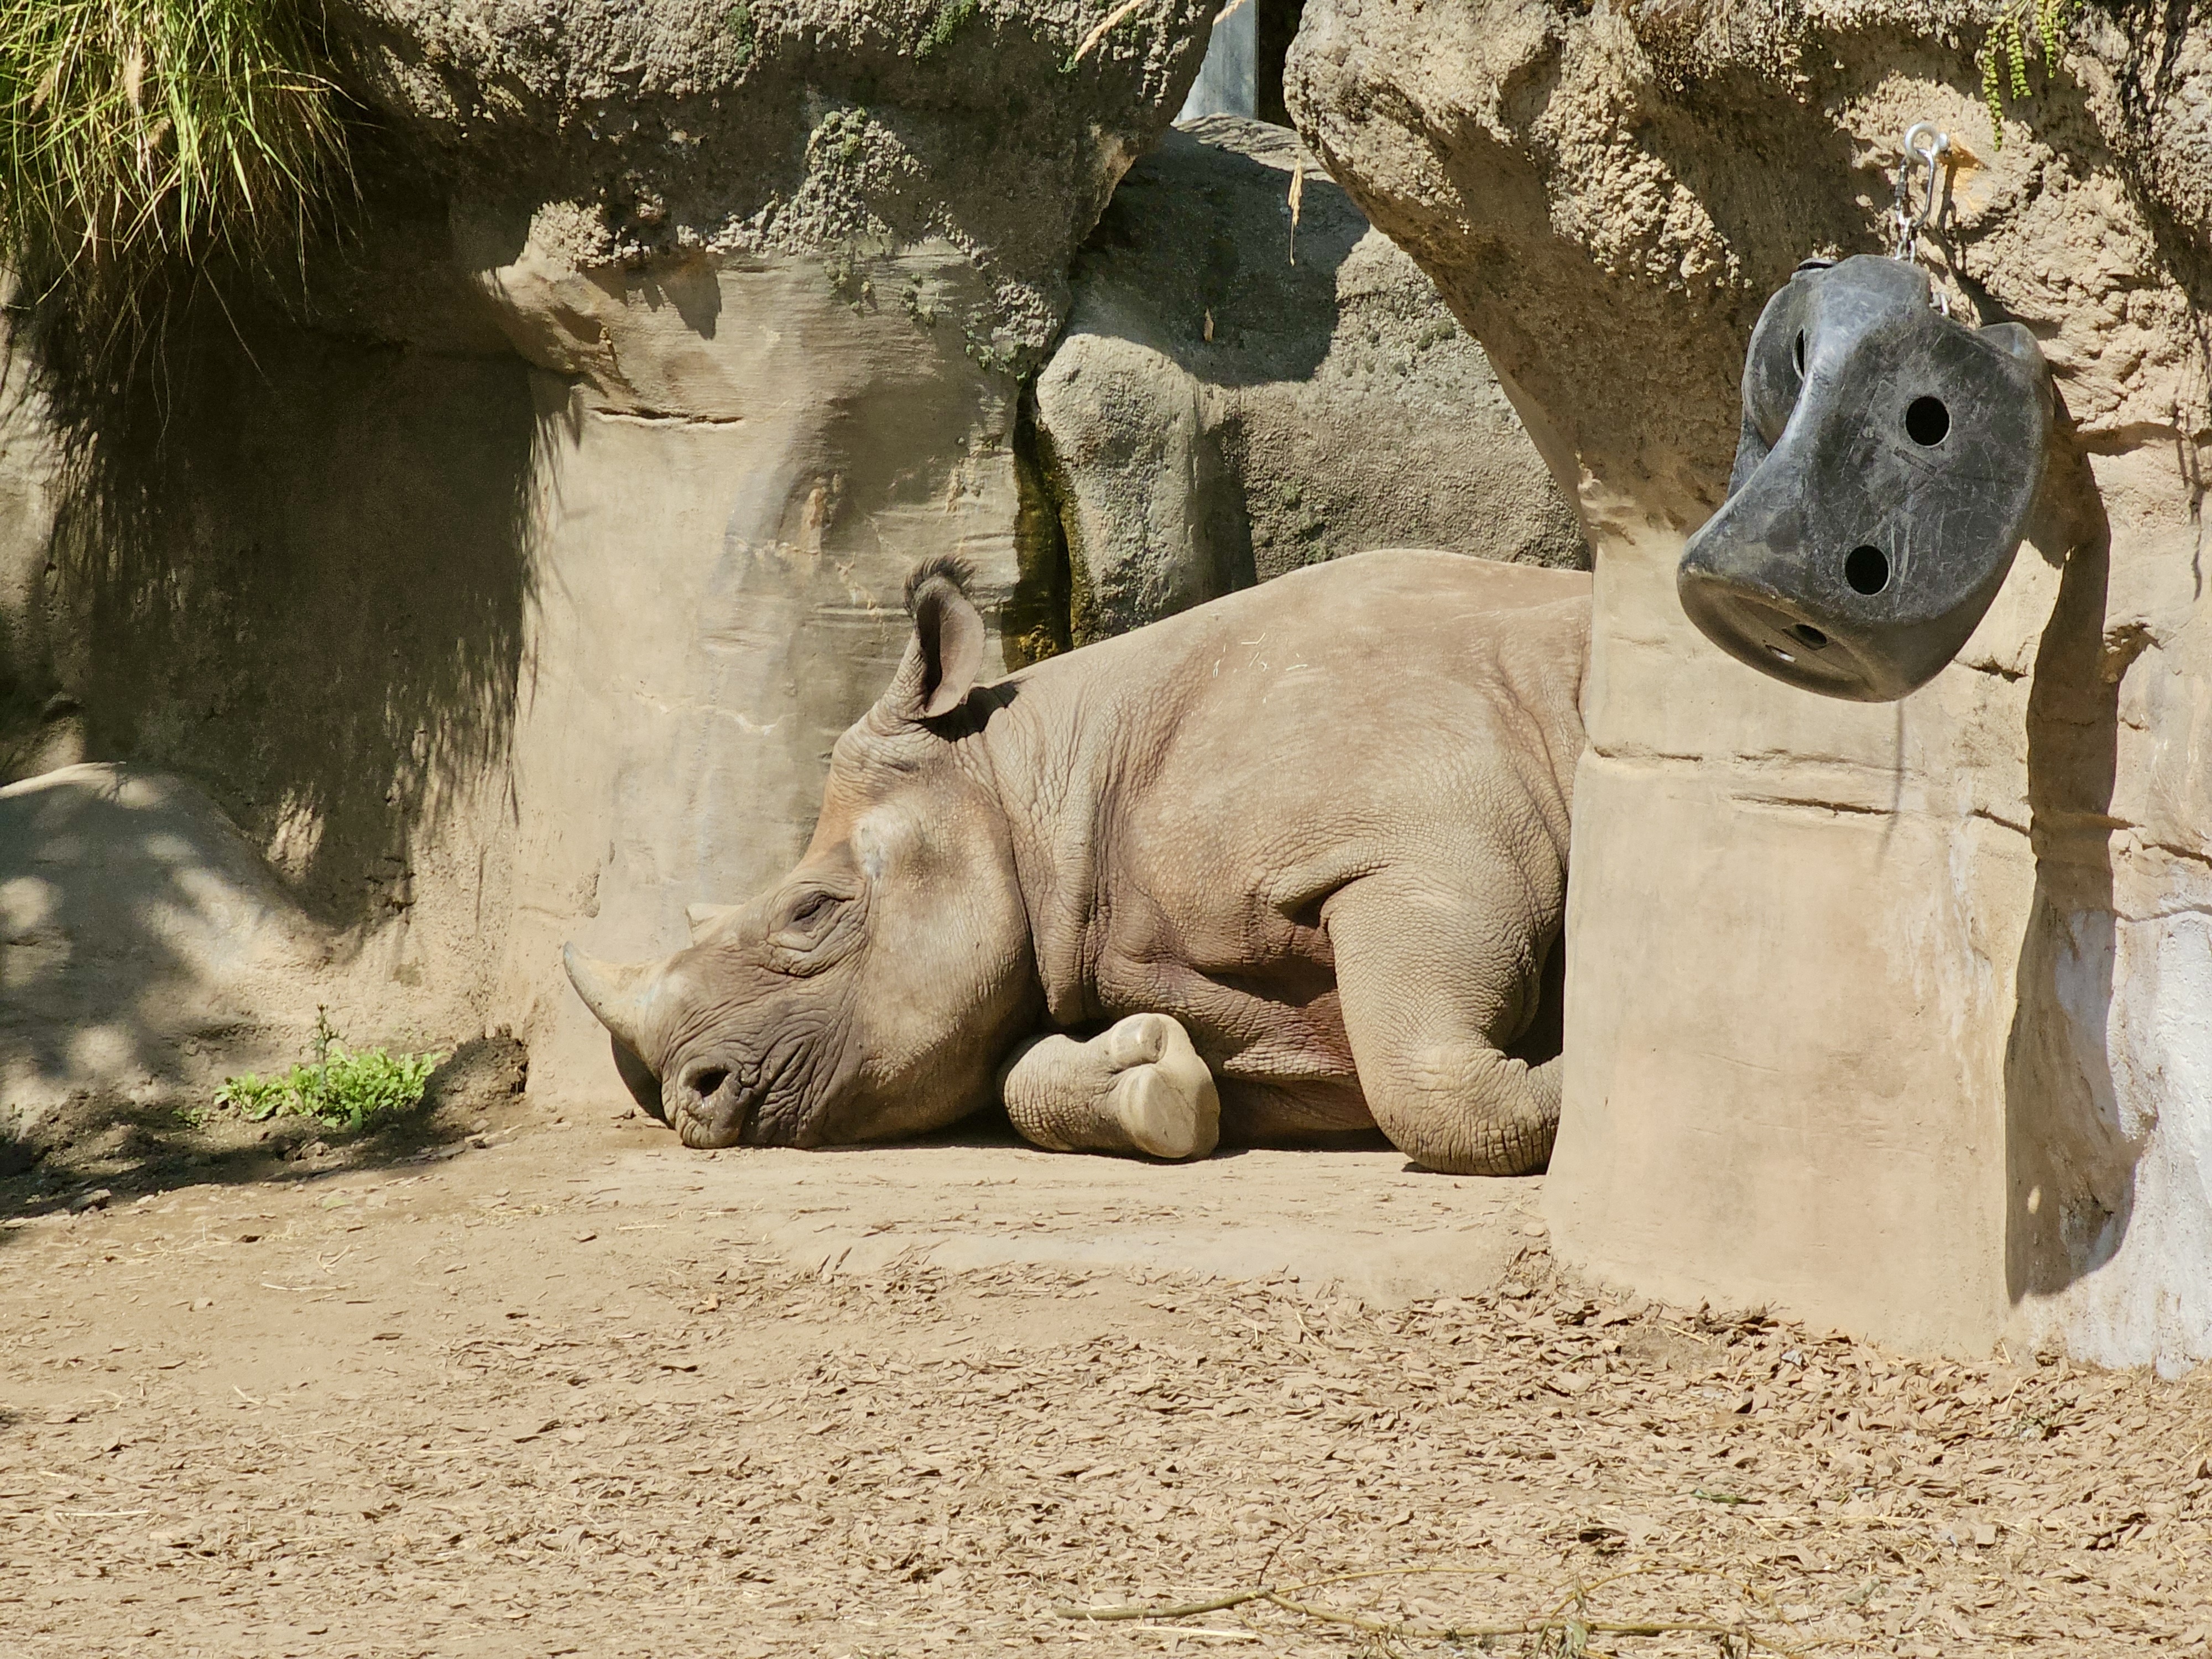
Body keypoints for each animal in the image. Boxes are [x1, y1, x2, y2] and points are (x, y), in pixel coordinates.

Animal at [563, 548, 1589, 1176]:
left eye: (809, 911)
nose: (688, 1100)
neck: (1038, 790)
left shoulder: (1426, 851)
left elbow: (1426, 1077)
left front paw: (1588, 1083)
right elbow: (1021, 1077)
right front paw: (1152, 1084)